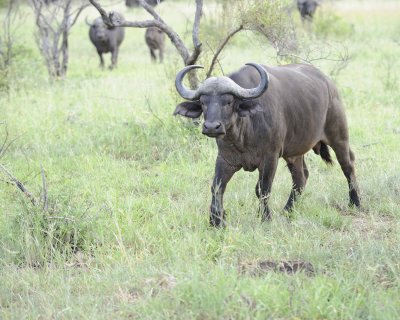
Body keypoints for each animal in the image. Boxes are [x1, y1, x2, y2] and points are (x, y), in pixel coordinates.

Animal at [173, 63, 360, 228]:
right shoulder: (225, 160)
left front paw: (265, 218)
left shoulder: (270, 158)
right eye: (203, 102)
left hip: (339, 137)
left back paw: (355, 202)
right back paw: (287, 211)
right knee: (301, 177)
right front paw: (216, 221)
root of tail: (329, 84)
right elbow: (217, 187)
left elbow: (263, 189)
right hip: (294, 152)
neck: (243, 134)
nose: (212, 127)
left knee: (347, 165)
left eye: (228, 101)